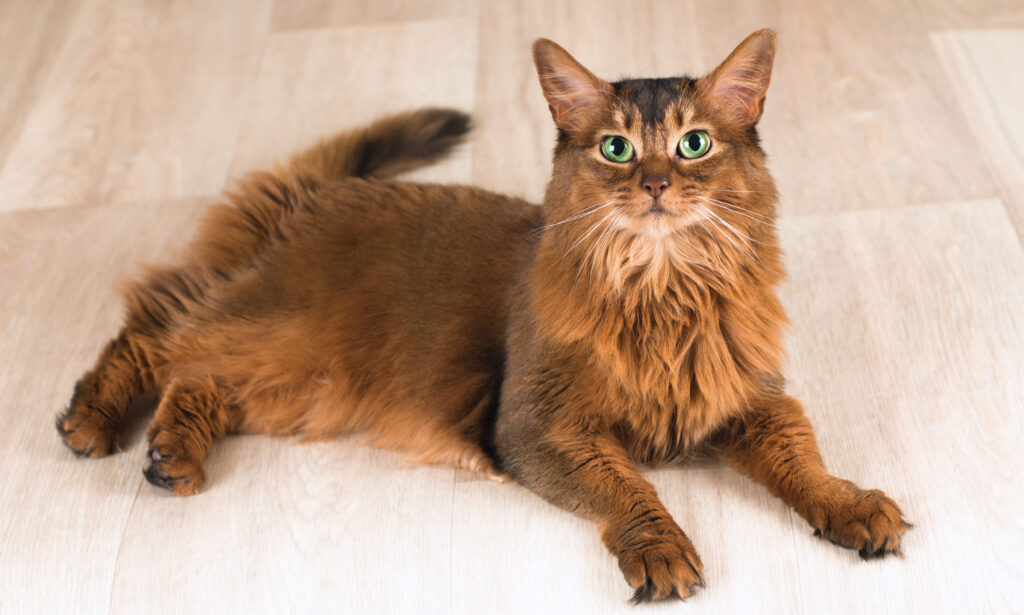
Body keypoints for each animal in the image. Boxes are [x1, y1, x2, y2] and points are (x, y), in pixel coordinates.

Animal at [58, 31, 905, 601]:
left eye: (694, 143)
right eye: (618, 149)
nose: (658, 183)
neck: (662, 294)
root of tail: (316, 194)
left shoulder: (750, 401)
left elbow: (805, 462)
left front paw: (850, 505)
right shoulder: (537, 426)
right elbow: (631, 487)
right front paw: (660, 549)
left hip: (303, 383)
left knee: (198, 376)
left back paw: (172, 453)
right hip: (284, 332)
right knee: (157, 333)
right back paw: (93, 421)